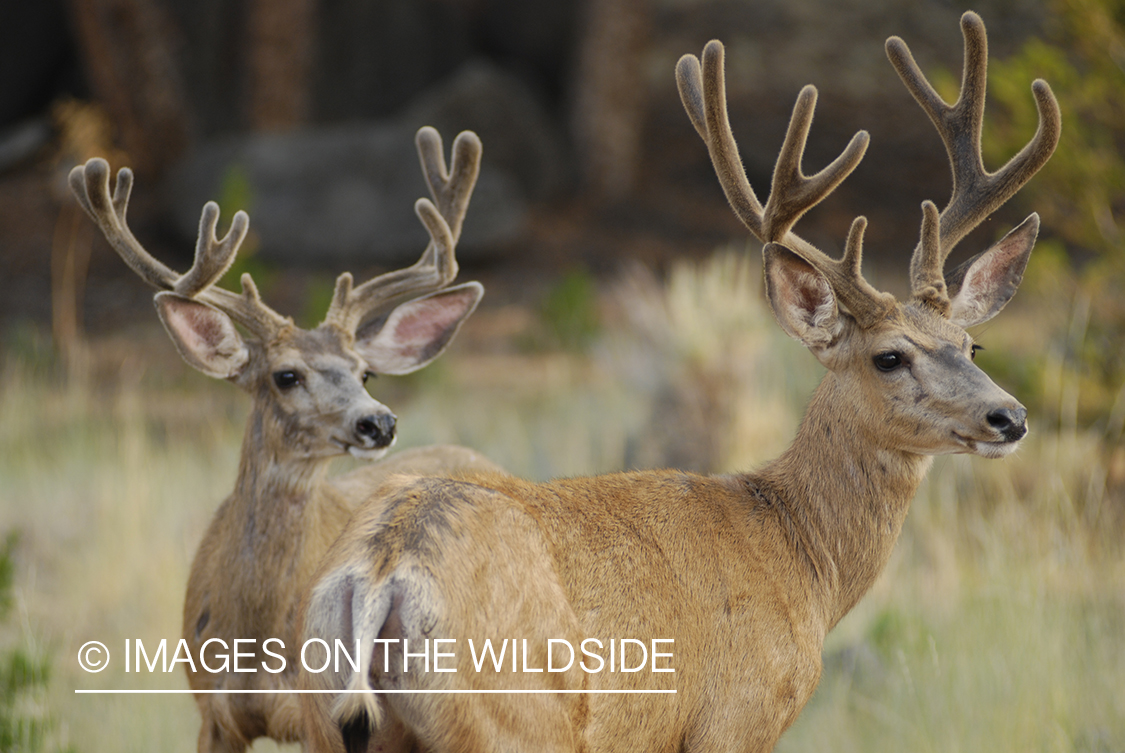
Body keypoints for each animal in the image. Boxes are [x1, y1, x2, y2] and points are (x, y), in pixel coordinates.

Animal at [68, 126, 504, 752]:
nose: (379, 422)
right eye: (286, 375)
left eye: (365, 373)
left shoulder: (322, 716)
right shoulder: (214, 715)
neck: (258, 637)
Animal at [296, 12, 1060, 753]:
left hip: (325, 714)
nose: (1009, 416)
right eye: (889, 357)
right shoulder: (736, 718)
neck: (801, 559)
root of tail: (381, 571)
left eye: (970, 343)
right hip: (510, 720)